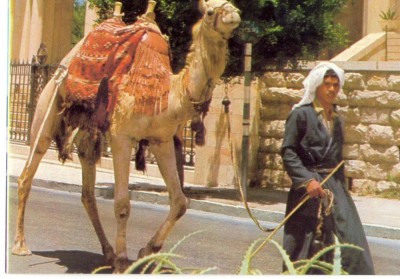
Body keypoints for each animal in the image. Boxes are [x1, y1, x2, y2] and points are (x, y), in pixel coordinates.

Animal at [10, 0, 239, 274]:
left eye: (231, 4)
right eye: (211, 11)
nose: (234, 14)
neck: (167, 93)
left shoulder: (161, 141)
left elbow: (180, 202)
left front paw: (145, 252)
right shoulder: (122, 138)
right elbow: (121, 205)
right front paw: (123, 262)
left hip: (88, 136)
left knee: (87, 192)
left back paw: (107, 252)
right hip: (48, 108)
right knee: (27, 174)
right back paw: (21, 245)